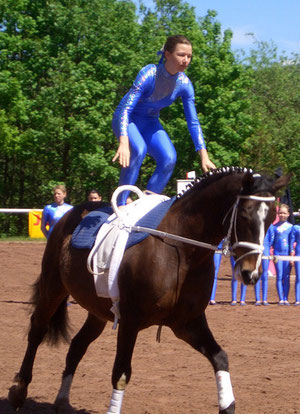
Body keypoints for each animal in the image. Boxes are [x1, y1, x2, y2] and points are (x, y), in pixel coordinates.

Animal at [8, 168, 290, 414]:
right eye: (245, 214)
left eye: (271, 217)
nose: (252, 274)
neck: (180, 249)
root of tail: (71, 214)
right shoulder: (130, 322)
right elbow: (121, 374)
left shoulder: (187, 323)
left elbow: (220, 358)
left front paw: (227, 404)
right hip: (52, 288)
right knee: (37, 330)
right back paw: (18, 392)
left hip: (97, 312)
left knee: (77, 346)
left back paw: (62, 401)